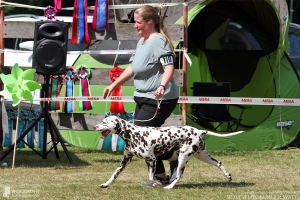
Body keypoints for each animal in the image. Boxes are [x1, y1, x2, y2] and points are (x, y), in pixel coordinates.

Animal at [93, 115, 244, 189]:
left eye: (104, 122)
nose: (94, 126)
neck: (133, 134)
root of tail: (199, 130)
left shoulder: (152, 160)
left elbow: (151, 177)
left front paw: (157, 183)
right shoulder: (125, 160)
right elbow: (114, 175)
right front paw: (105, 184)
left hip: (183, 156)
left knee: (179, 175)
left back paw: (169, 187)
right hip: (202, 156)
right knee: (219, 163)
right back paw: (228, 176)